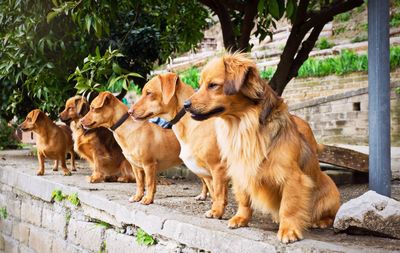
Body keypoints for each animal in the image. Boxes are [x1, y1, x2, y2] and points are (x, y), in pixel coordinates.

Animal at [129, 72, 228, 217]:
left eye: (149, 93)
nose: (129, 112)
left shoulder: (217, 168)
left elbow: (219, 193)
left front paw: (217, 211)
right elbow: (215, 192)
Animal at [183, 52, 340, 243]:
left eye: (213, 85)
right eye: (200, 85)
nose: (185, 105)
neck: (242, 123)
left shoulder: (293, 178)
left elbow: (289, 206)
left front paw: (288, 230)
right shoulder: (240, 170)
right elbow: (244, 199)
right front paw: (241, 218)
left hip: (331, 193)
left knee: (330, 216)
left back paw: (320, 222)